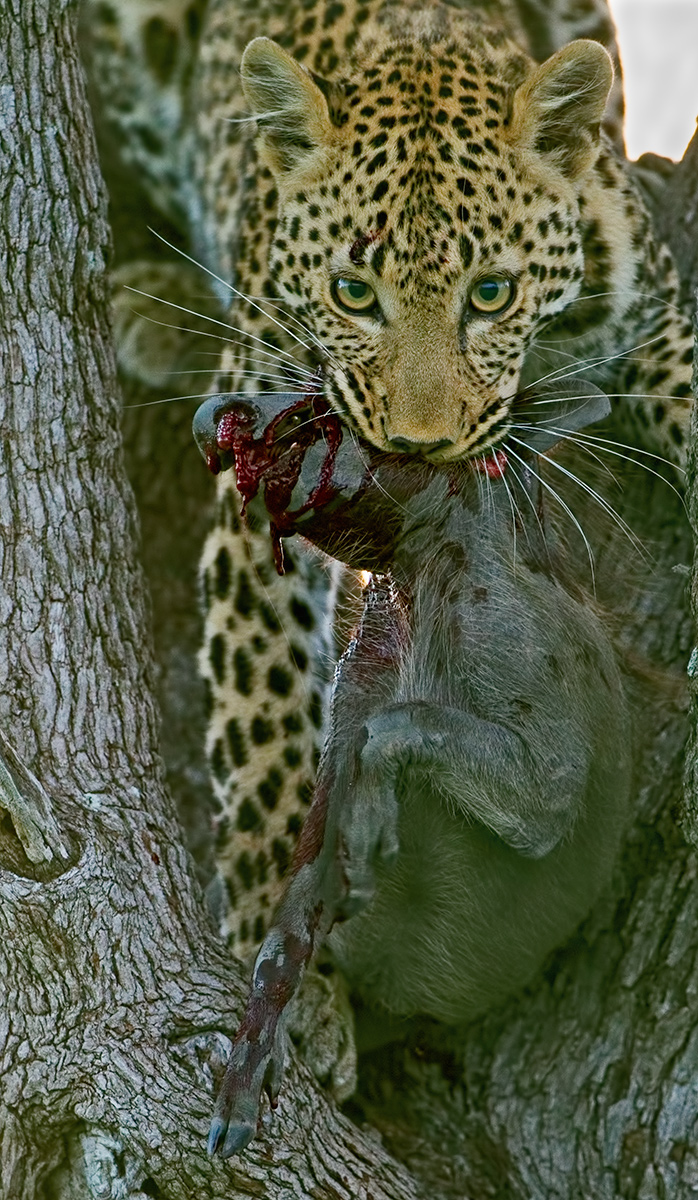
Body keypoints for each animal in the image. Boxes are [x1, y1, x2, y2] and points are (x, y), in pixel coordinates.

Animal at [80, 0, 694, 1013]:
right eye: (352, 293)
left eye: (492, 294)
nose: (416, 444)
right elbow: (263, 722)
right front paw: (292, 983)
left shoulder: (666, 329)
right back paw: (148, 306)